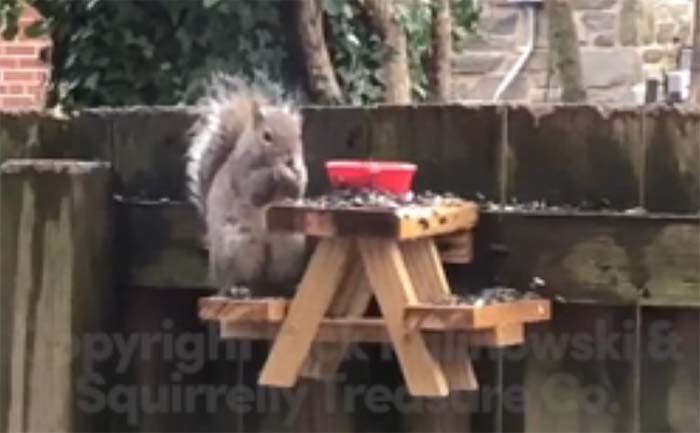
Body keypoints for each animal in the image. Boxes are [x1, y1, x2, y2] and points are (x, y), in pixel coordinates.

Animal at [186, 74, 308, 296]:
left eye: (299, 135)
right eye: (267, 136)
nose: (290, 160)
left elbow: (298, 190)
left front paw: (294, 175)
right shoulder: (241, 175)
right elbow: (255, 191)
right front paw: (278, 172)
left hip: (290, 246)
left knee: (274, 279)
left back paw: (286, 286)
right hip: (237, 247)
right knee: (235, 279)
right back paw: (237, 288)